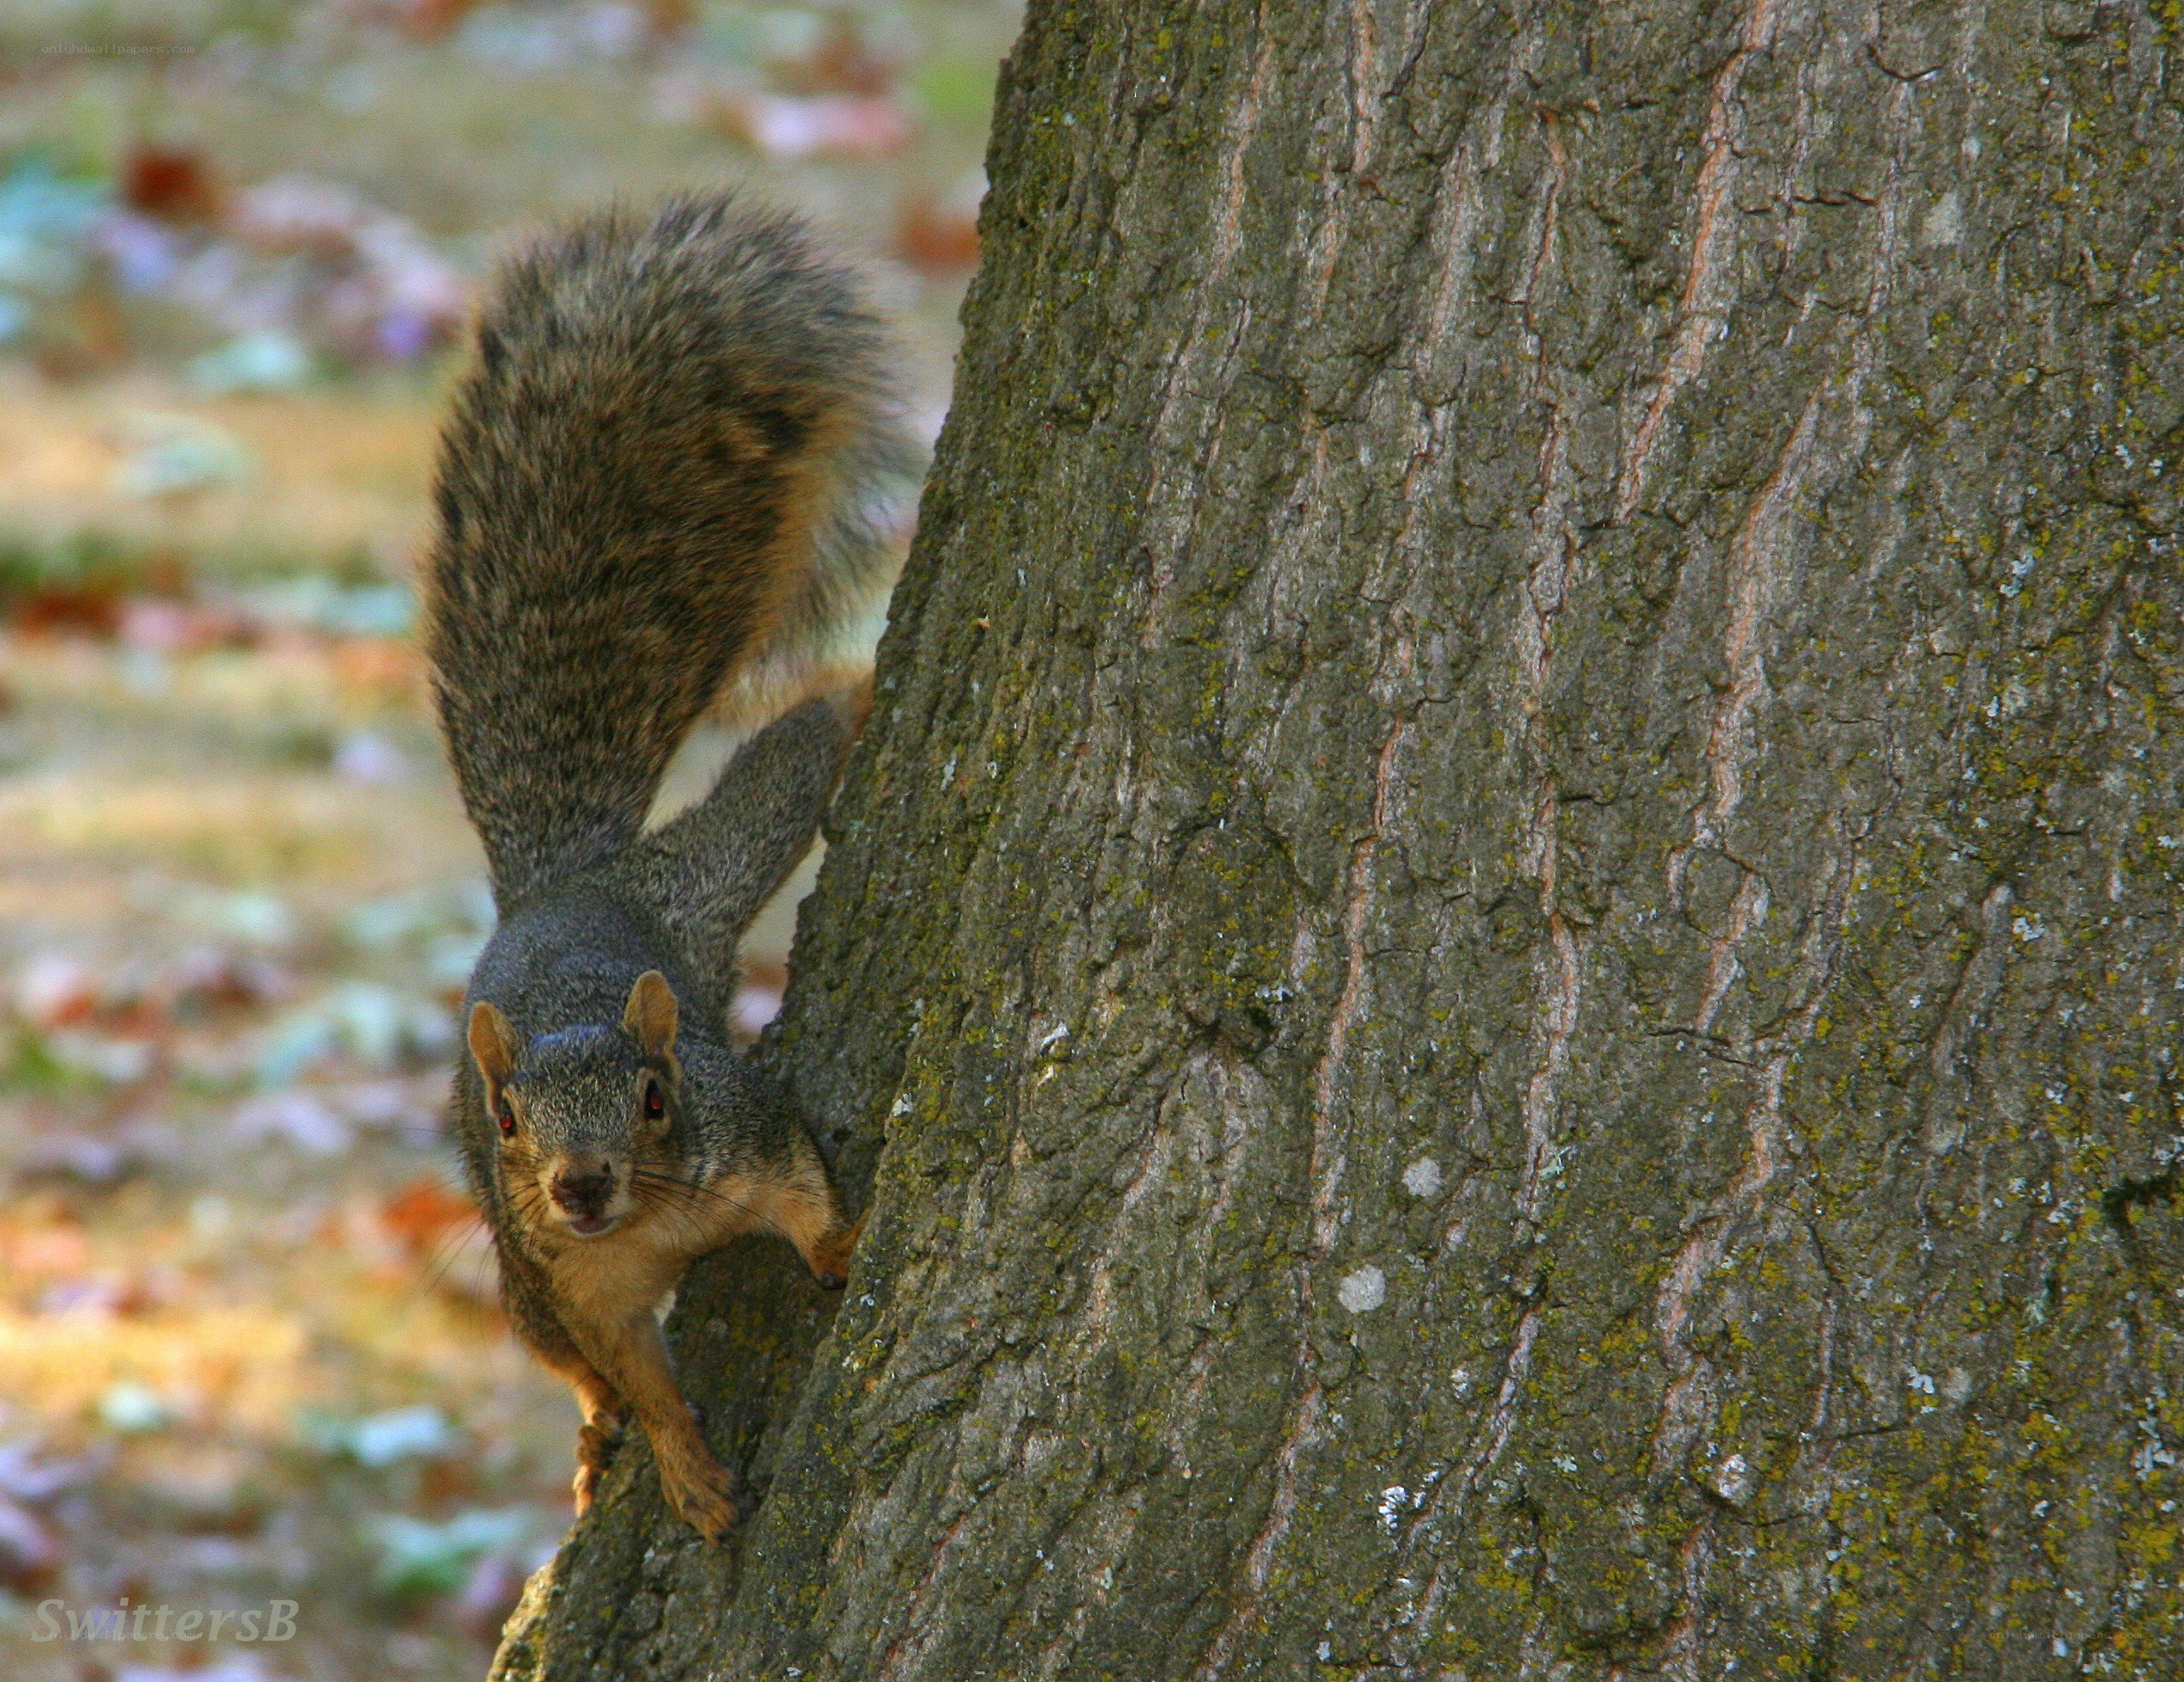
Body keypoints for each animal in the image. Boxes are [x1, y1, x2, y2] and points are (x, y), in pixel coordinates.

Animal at [421, 193, 912, 1540]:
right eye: (509, 1116)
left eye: (653, 1096)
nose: (582, 1185)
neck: (651, 1226)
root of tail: (555, 889)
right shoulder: (578, 1285)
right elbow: (635, 1373)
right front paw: (686, 1470)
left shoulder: (746, 1127)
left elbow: (808, 1195)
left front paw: (843, 1257)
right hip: (518, 1279)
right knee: (574, 1372)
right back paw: (597, 1447)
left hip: (712, 864)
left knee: (785, 759)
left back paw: (854, 693)